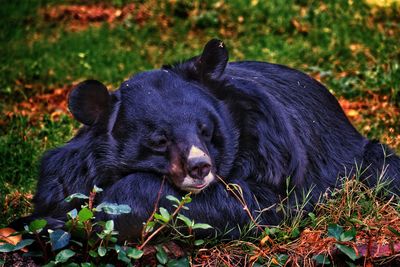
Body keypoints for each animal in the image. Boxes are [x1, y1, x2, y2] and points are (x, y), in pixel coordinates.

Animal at [26, 38, 398, 240]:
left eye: (206, 130)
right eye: (159, 140)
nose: (200, 167)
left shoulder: (274, 152)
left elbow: (256, 201)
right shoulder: (69, 167)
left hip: (362, 159)